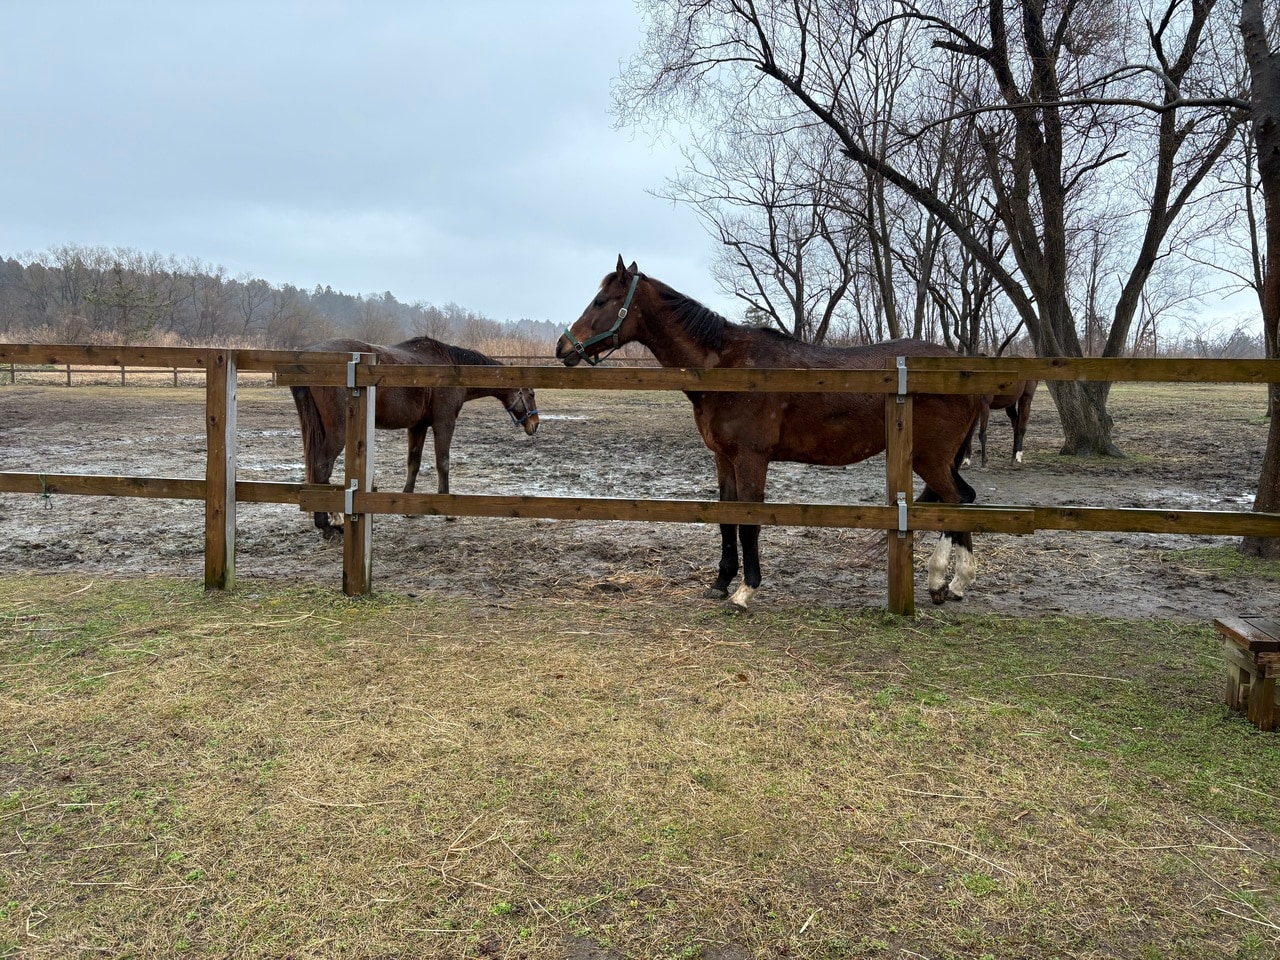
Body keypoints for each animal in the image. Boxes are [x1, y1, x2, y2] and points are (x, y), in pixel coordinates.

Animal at [291, 336, 539, 540]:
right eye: (531, 394)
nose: (535, 424)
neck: (450, 368)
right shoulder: (444, 423)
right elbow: (443, 463)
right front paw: (448, 511)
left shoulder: (418, 427)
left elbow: (414, 463)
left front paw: (407, 507)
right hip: (338, 433)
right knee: (322, 465)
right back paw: (327, 526)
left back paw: (333, 519)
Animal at [555, 256, 982, 609]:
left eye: (601, 302)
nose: (563, 347)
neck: (729, 367)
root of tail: (963, 370)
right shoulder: (723, 458)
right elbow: (727, 519)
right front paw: (721, 582)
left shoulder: (751, 459)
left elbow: (749, 522)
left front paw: (746, 590)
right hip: (937, 460)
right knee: (960, 501)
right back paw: (947, 585)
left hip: (929, 459)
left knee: (957, 502)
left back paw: (951, 582)